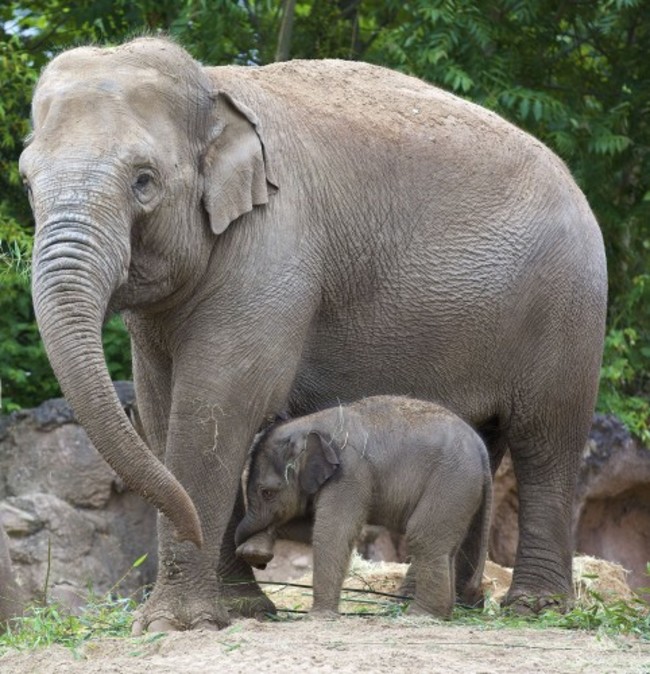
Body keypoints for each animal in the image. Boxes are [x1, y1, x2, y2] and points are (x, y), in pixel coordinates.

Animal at [234, 394, 492, 620]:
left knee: (423, 537)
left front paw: (318, 617)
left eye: (267, 493)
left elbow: (331, 532)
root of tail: (481, 449)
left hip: (451, 481)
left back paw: (421, 616)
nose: (260, 564)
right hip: (459, 491)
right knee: (446, 546)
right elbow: (309, 527)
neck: (311, 424)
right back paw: (441, 614)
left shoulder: (350, 474)